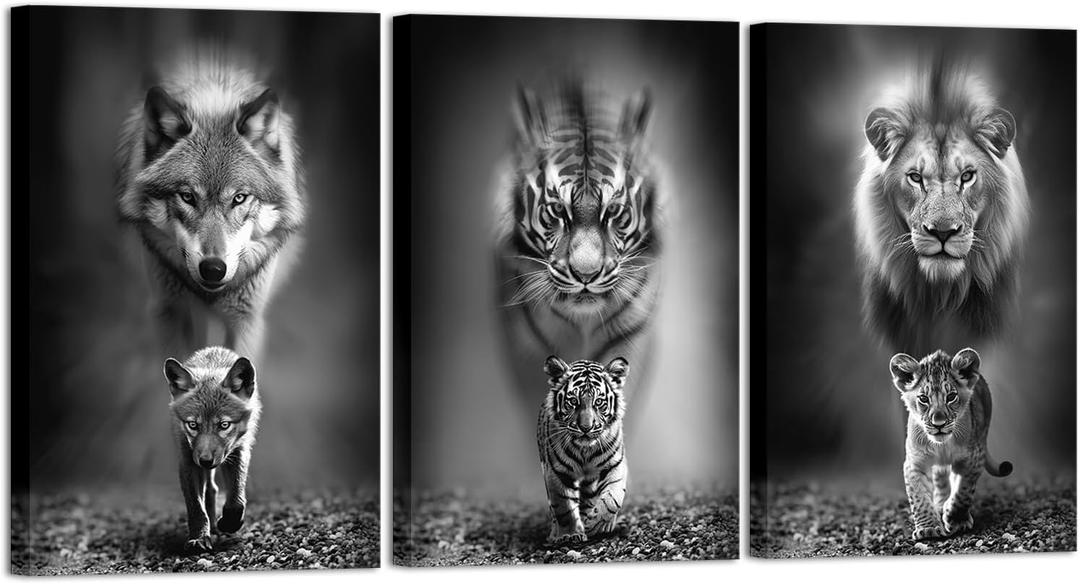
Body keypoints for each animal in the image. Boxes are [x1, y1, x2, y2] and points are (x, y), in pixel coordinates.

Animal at [164, 346, 262, 553]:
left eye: (224, 425)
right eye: (193, 425)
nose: (206, 460)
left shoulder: (239, 451)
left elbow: (236, 499)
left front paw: (230, 523)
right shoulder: (188, 460)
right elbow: (196, 507)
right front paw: (199, 538)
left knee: (214, 489)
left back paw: (217, 527)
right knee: (210, 489)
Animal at [537, 355, 629, 546]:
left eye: (598, 402)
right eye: (573, 402)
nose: (586, 427)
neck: (586, 451)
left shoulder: (616, 466)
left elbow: (613, 499)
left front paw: (594, 525)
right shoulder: (556, 472)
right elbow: (564, 506)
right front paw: (569, 535)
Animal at [889, 347, 1013, 541]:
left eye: (951, 396)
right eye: (923, 398)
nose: (938, 423)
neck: (941, 446)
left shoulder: (973, 459)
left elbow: (963, 491)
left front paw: (956, 520)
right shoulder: (914, 463)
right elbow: (919, 498)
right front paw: (928, 528)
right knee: (940, 478)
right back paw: (940, 504)